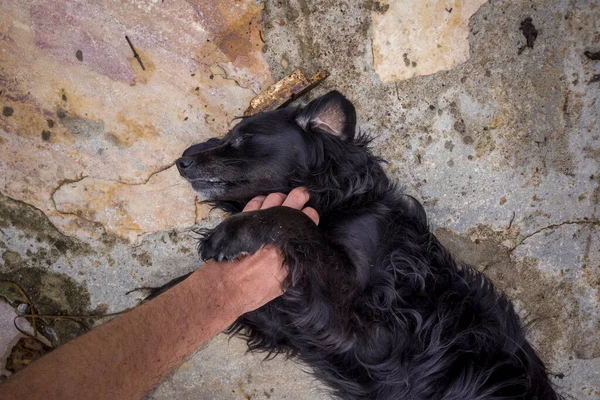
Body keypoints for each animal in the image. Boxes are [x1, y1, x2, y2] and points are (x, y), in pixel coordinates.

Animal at [171, 91, 560, 400]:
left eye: (243, 138)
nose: (181, 161)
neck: (339, 200)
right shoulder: (286, 323)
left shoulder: (366, 332)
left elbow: (292, 218)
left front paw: (229, 234)